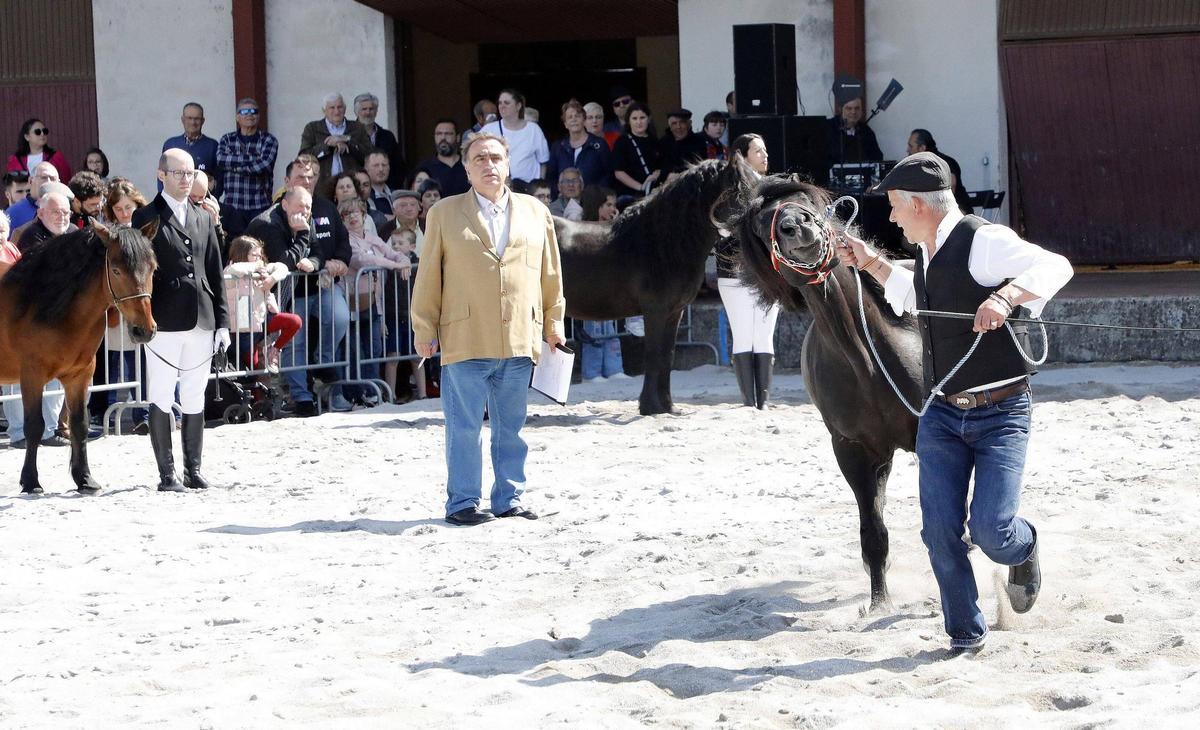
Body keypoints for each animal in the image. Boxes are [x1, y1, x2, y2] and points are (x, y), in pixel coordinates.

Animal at [1, 223, 158, 497]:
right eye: (116, 270)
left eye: (153, 268)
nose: (144, 330)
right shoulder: (32, 376)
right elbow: (35, 425)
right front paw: (31, 482)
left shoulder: (80, 375)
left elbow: (79, 425)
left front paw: (84, 479)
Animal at [554, 158, 748, 415]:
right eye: (742, 190)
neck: (662, 243)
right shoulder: (655, 311)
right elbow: (654, 355)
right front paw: (650, 406)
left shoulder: (674, 313)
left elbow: (667, 356)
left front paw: (667, 406)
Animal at [729, 176, 916, 609]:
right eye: (762, 225)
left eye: (805, 202)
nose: (797, 226)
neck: (867, 359)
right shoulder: (852, 450)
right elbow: (873, 531)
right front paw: (878, 605)